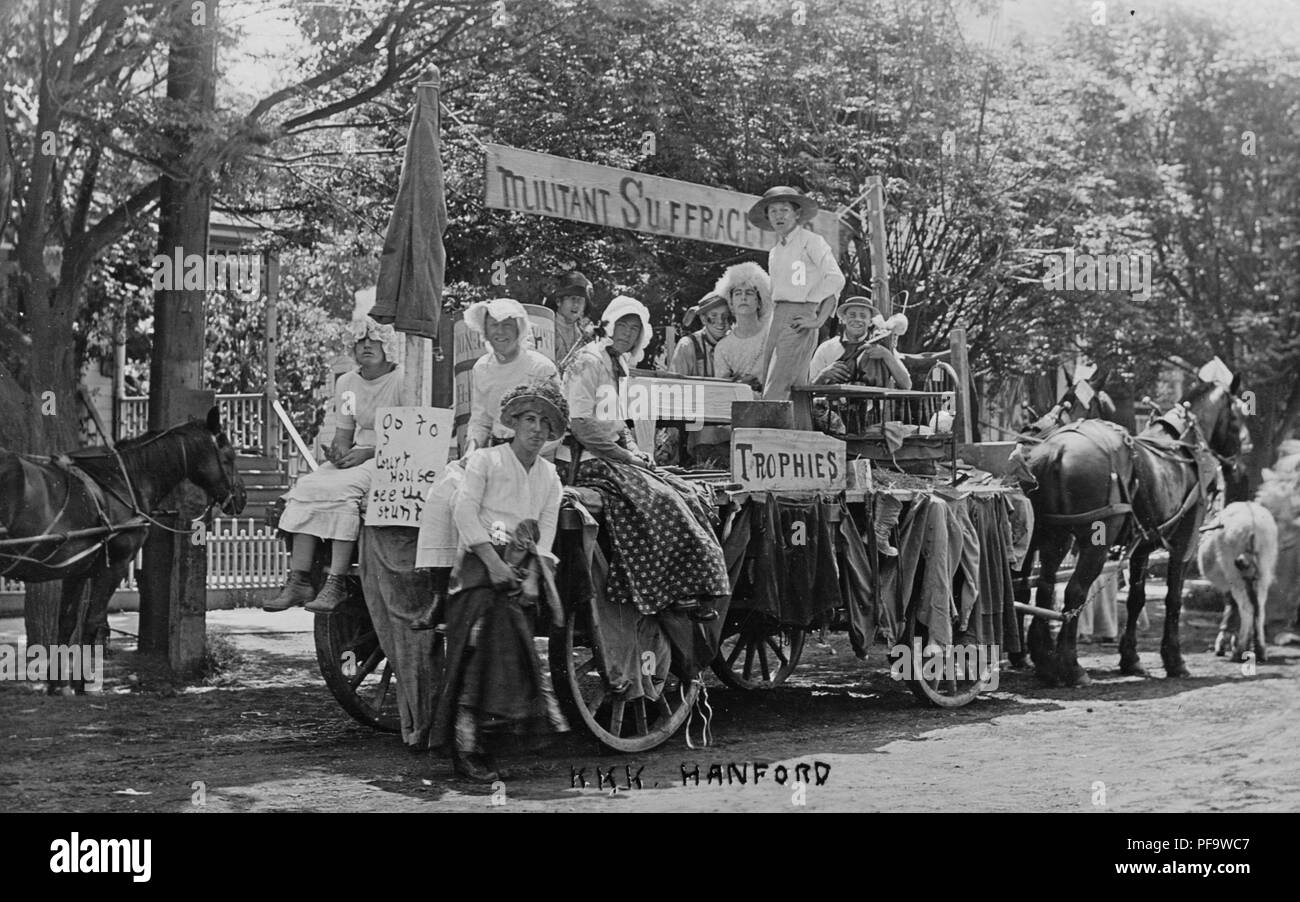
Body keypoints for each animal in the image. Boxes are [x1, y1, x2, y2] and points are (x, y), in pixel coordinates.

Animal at [0, 410, 244, 657]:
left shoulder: (76, 570)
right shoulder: (114, 566)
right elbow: (92, 625)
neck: (121, 481)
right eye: (229, 457)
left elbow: (67, 624)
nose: (241, 497)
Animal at [1019, 379, 1242, 686]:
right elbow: (1174, 599)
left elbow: (1137, 599)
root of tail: (1057, 449)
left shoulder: (1143, 545)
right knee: (1074, 592)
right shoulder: (1184, 542)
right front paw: (1174, 660)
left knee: (1044, 587)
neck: (1181, 448)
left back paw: (1045, 664)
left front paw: (1131, 659)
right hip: (1095, 543)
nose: (1237, 464)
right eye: (1237, 418)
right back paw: (1071, 666)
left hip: (1054, 536)